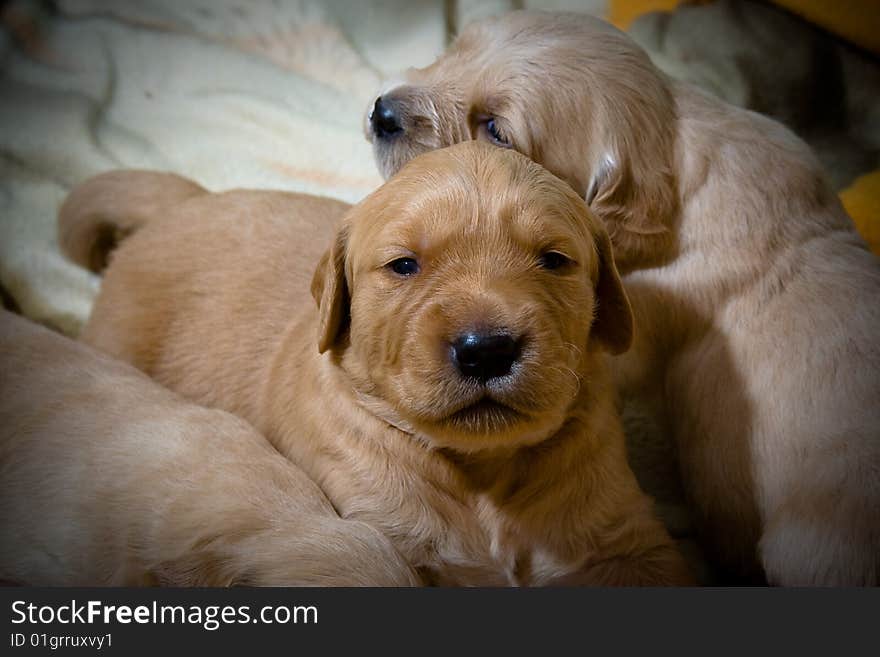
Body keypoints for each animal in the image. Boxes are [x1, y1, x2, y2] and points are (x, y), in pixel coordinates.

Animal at [62, 142, 696, 584]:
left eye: (555, 260)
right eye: (403, 265)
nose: (487, 348)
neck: (480, 470)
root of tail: (186, 200)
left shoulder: (629, 543)